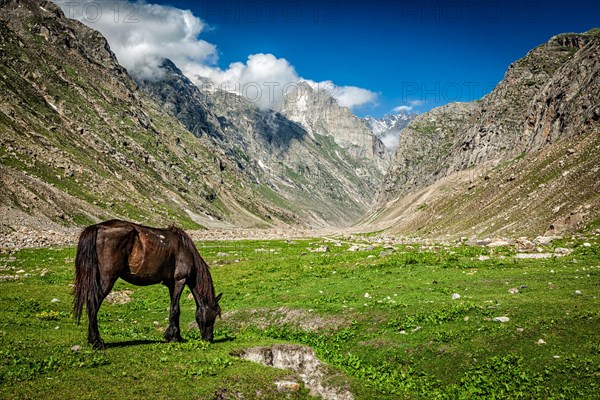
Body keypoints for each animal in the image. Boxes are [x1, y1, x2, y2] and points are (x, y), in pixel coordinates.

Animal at [73, 220, 223, 348]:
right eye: (215, 314)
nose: (209, 339)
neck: (185, 249)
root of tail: (97, 227)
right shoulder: (180, 280)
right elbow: (176, 309)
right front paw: (175, 338)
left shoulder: (171, 284)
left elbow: (173, 308)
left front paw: (174, 335)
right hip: (107, 279)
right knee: (93, 304)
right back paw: (97, 342)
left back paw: (93, 340)